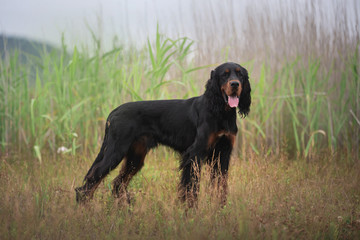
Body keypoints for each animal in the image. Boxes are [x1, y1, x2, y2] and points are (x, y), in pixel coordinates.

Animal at [75, 62, 250, 206]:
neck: (221, 111)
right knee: (93, 178)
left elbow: (221, 185)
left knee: (118, 183)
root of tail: (114, 112)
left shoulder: (223, 154)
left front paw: (220, 209)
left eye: (240, 74)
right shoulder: (195, 154)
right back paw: (85, 207)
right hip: (116, 150)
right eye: (224, 74)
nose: (235, 84)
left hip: (135, 157)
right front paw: (190, 210)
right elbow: (191, 186)